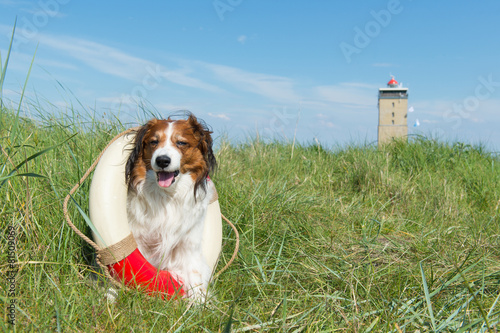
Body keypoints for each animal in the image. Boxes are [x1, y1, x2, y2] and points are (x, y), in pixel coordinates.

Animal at [124, 113, 216, 296]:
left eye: (181, 143)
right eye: (154, 142)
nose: (162, 161)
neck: (168, 196)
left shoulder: (189, 246)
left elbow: (195, 278)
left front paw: (198, 302)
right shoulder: (140, 241)